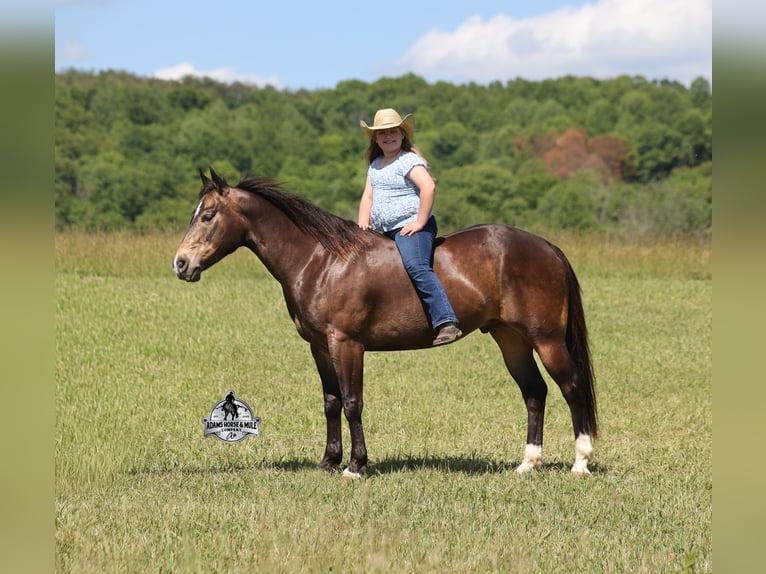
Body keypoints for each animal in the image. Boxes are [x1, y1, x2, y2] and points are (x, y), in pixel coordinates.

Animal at [174, 168, 598, 479]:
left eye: (208, 215)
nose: (181, 263)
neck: (321, 260)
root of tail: (547, 247)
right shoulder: (320, 346)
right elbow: (331, 403)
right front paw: (328, 462)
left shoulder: (347, 343)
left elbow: (352, 403)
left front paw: (355, 466)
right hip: (510, 339)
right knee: (535, 392)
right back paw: (527, 464)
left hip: (547, 339)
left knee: (572, 387)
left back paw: (580, 462)